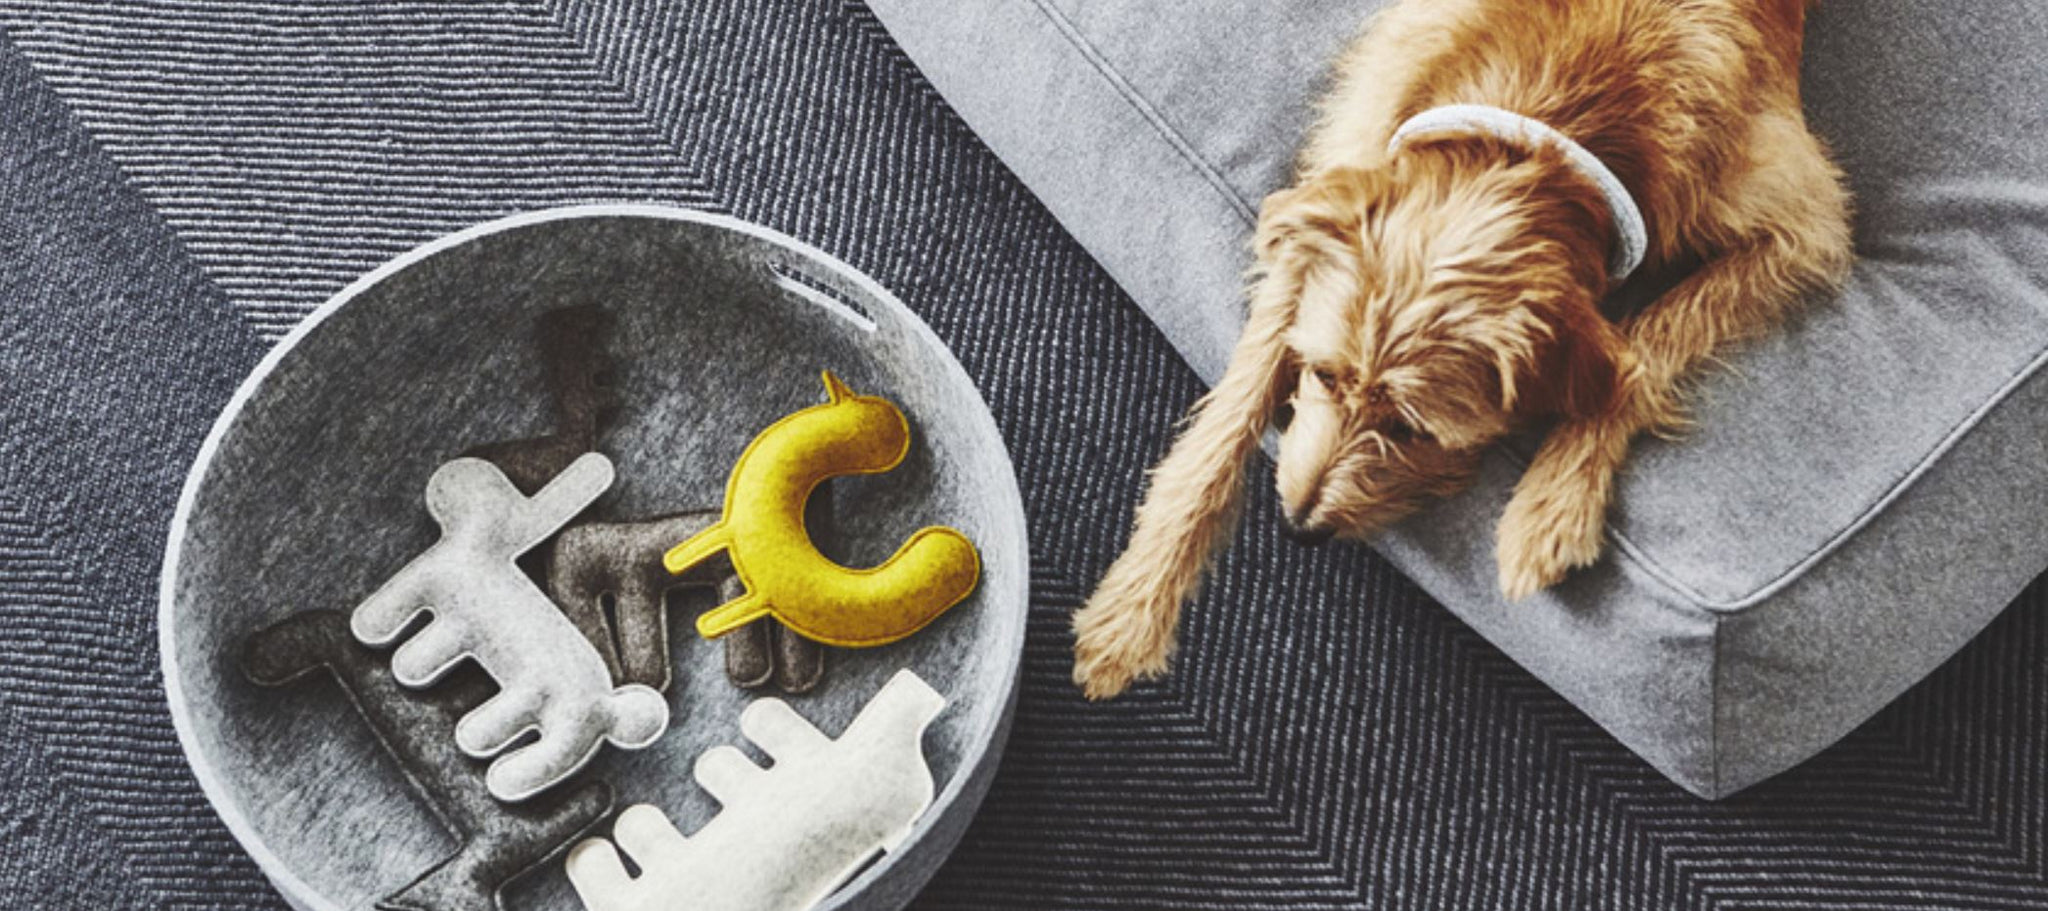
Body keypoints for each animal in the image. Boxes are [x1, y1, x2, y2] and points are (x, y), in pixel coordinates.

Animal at [1071, 0, 1853, 700]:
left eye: (1415, 431)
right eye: (1324, 374)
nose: (1297, 527)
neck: (1547, 115)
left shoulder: (1800, 220)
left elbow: (1648, 341)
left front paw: (1553, 500)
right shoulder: (1349, 160)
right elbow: (1232, 409)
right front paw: (1134, 609)